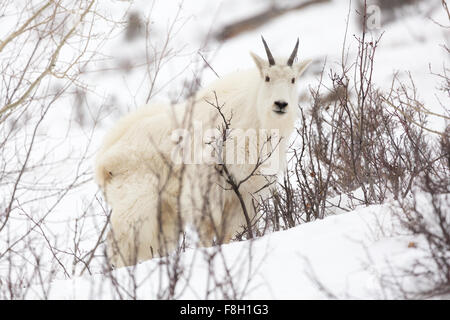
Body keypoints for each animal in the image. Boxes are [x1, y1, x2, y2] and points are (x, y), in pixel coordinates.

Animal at [94, 37, 312, 268]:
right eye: (268, 77)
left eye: (293, 79)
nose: (280, 104)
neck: (255, 119)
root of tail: (105, 158)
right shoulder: (206, 189)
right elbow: (208, 230)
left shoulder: (243, 195)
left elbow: (227, 233)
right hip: (136, 204)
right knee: (122, 243)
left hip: (164, 211)